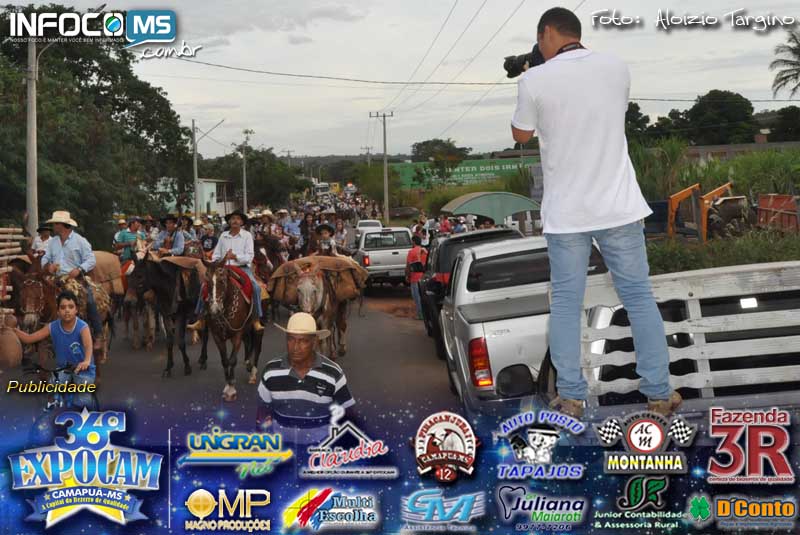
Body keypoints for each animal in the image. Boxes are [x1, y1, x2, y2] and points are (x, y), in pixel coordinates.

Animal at [199, 261, 262, 401]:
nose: (214, 309)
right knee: (248, 342)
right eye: (207, 281)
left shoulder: (237, 334)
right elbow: (224, 360)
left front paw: (231, 389)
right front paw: (227, 385)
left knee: (257, 341)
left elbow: (232, 360)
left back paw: (253, 372)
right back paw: (248, 363)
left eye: (222, 281)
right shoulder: (217, 335)